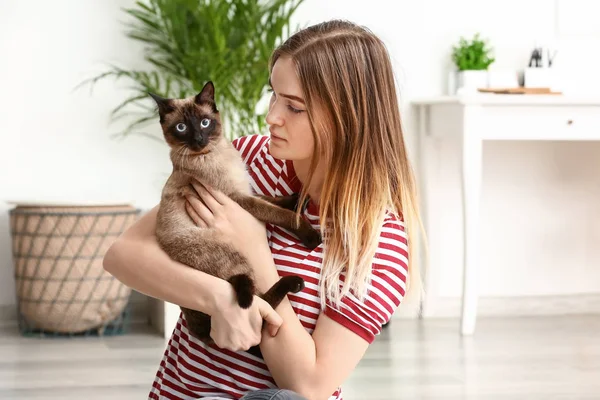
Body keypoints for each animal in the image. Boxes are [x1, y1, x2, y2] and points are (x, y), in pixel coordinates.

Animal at [150, 81, 322, 356]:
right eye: (181, 128)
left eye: (205, 123)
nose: (198, 139)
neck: (216, 152)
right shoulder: (238, 199)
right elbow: (282, 215)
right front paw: (311, 235)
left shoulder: (244, 190)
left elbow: (273, 200)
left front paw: (298, 201)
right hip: (232, 256)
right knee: (255, 303)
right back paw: (293, 284)